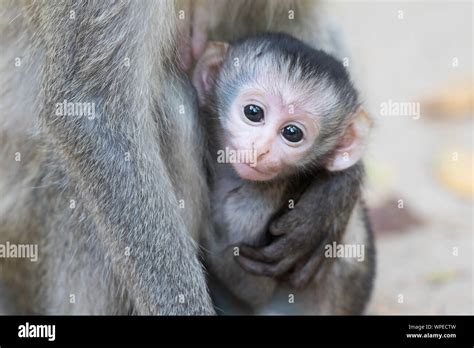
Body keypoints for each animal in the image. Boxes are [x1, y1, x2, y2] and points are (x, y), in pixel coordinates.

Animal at [0, 0, 352, 316]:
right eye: (253, 113)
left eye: (292, 133)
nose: (261, 150)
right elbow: (91, 107)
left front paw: (335, 192)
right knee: (171, 105)